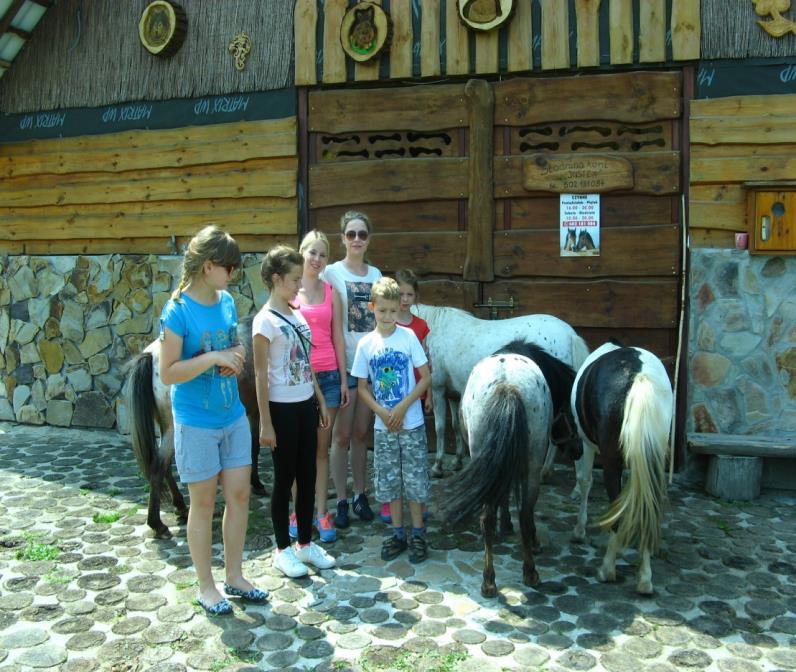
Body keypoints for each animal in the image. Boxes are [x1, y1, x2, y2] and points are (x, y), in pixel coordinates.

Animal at [124, 316, 262, 540]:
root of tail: (151, 355)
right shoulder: (258, 412)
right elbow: (255, 448)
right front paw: (257, 483)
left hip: (166, 427)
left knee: (164, 466)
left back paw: (180, 506)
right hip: (173, 428)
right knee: (159, 466)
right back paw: (158, 524)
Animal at [410, 304, 592, 478]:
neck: (435, 332)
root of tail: (569, 334)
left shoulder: (437, 390)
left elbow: (440, 428)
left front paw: (437, 466)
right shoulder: (452, 394)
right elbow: (454, 426)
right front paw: (457, 461)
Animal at [442, 344, 580, 596]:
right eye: (572, 413)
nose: (577, 450)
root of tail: (508, 386)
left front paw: (505, 524)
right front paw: (514, 529)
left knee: (490, 518)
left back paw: (491, 580)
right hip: (532, 466)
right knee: (524, 513)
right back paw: (526, 571)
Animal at [568, 344, 676, 596]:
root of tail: (638, 375)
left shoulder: (586, 445)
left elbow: (585, 481)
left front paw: (579, 529)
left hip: (610, 459)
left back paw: (607, 569)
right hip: (652, 458)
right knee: (648, 505)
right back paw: (645, 578)